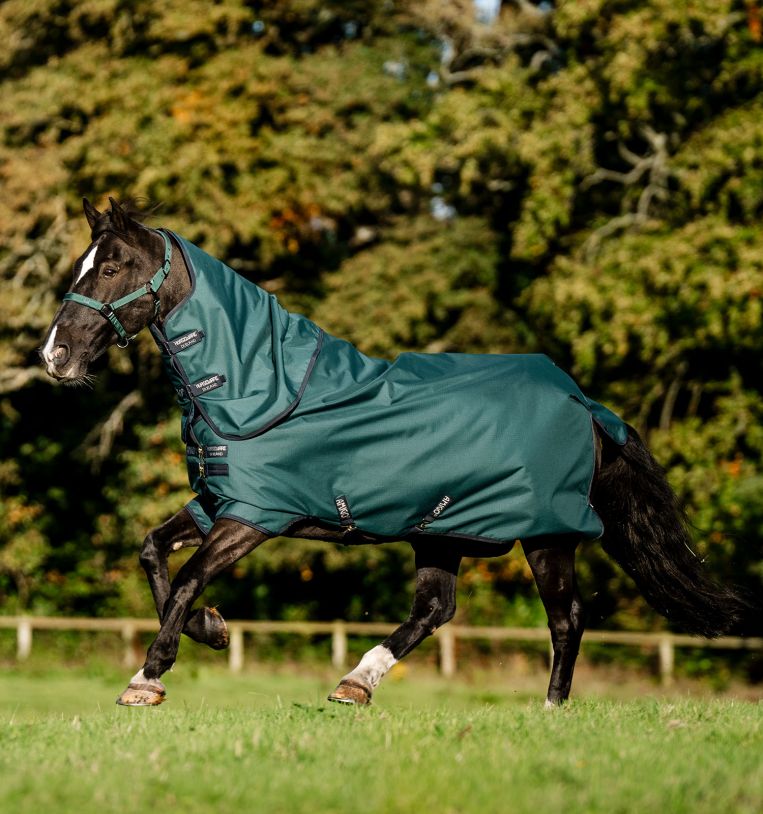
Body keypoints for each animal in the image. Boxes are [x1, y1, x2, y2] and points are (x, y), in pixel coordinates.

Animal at [40, 198, 756, 707]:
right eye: (82, 266)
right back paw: (356, 682)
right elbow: (153, 554)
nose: (55, 355)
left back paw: (551, 709)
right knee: (435, 610)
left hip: (546, 534)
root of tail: (585, 406)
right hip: (445, 530)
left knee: (566, 618)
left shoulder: (255, 516)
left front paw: (148, 676)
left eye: (110, 267)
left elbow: (188, 578)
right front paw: (211, 632)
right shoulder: (218, 502)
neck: (257, 386)